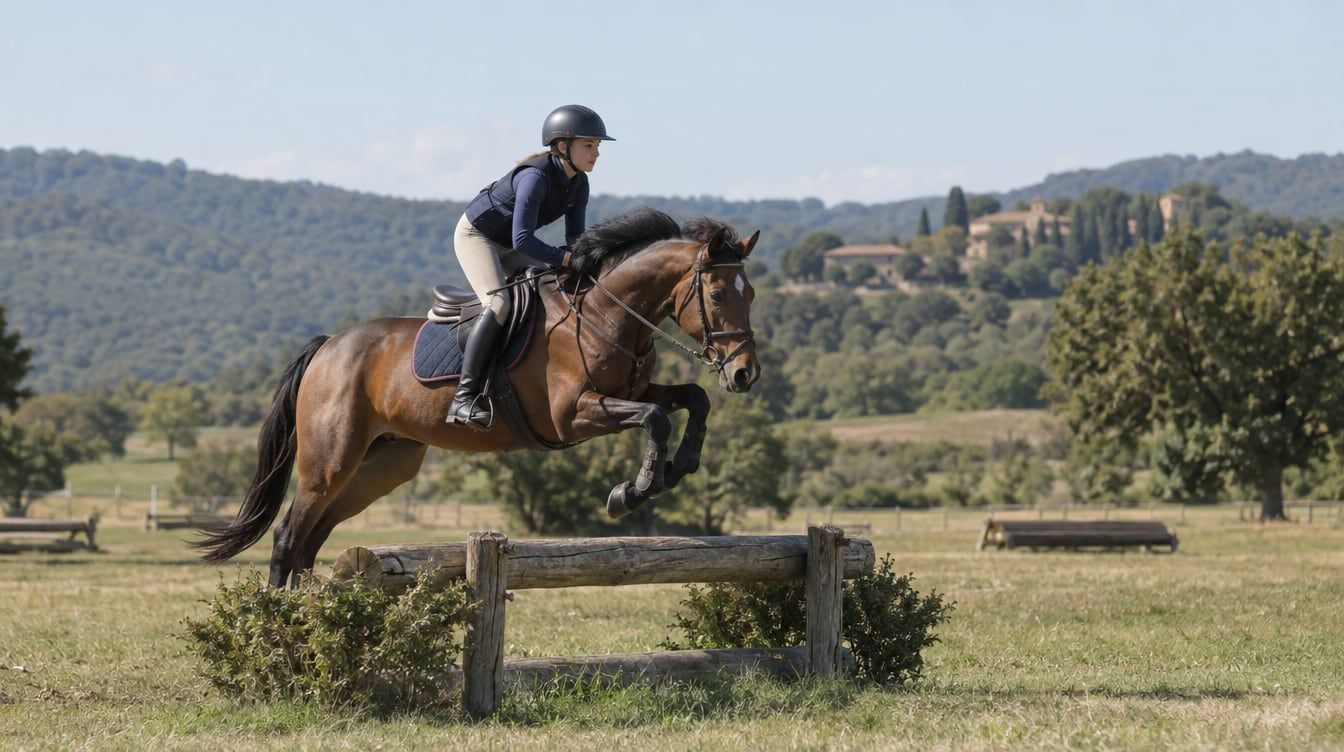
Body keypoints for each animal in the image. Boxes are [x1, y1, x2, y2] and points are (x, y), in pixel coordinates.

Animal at [194, 208, 761, 586]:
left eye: (751, 294)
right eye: (717, 294)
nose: (745, 374)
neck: (606, 312)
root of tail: (329, 346)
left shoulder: (633, 390)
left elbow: (691, 400)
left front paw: (677, 468)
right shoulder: (572, 415)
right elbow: (654, 418)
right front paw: (634, 490)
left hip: (383, 464)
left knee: (312, 539)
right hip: (329, 460)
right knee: (289, 537)